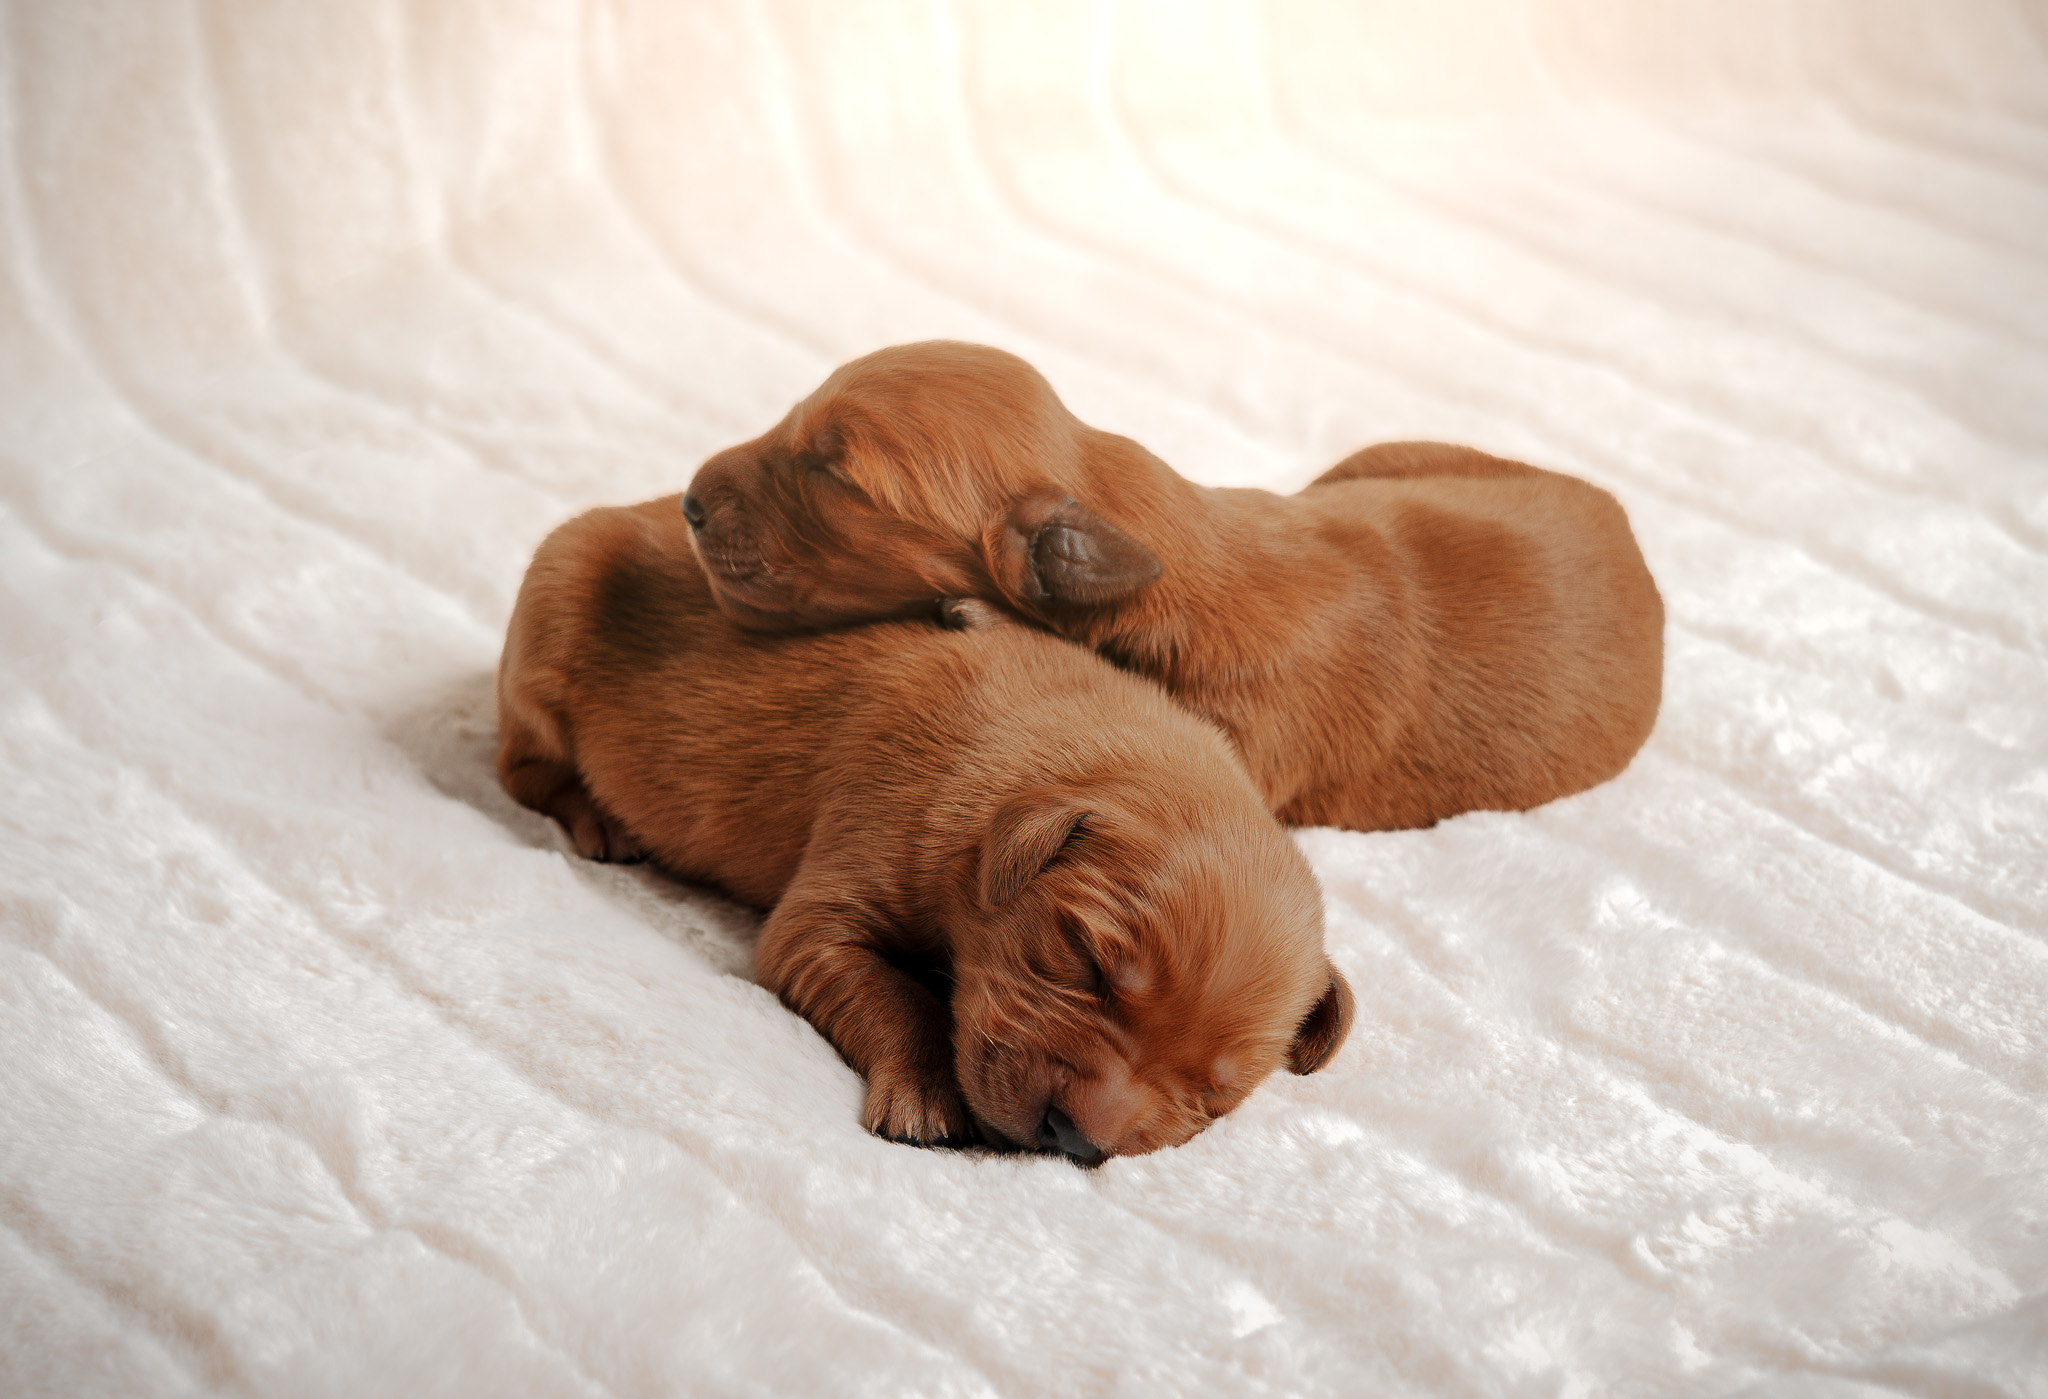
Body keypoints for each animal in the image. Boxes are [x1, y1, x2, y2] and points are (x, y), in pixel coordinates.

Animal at [496, 496, 1354, 1161]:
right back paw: (595, 816)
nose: (1074, 1139)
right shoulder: (831, 906)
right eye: (1087, 964)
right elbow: (897, 995)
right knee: (522, 762)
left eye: (1213, 1096)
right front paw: (923, 1096)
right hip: (547, 613)